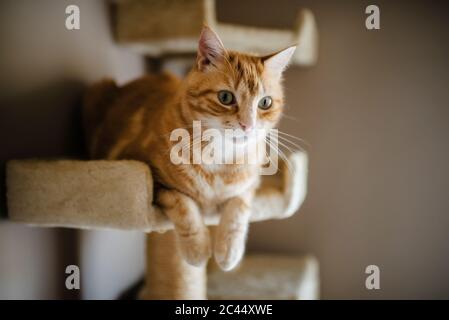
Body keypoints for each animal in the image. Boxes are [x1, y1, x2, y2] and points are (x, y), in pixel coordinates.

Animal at [84, 26, 296, 270]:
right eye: (225, 97)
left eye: (265, 103)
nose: (247, 125)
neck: (219, 157)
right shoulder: (150, 175)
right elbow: (183, 204)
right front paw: (197, 248)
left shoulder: (250, 186)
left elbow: (238, 207)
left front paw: (229, 250)